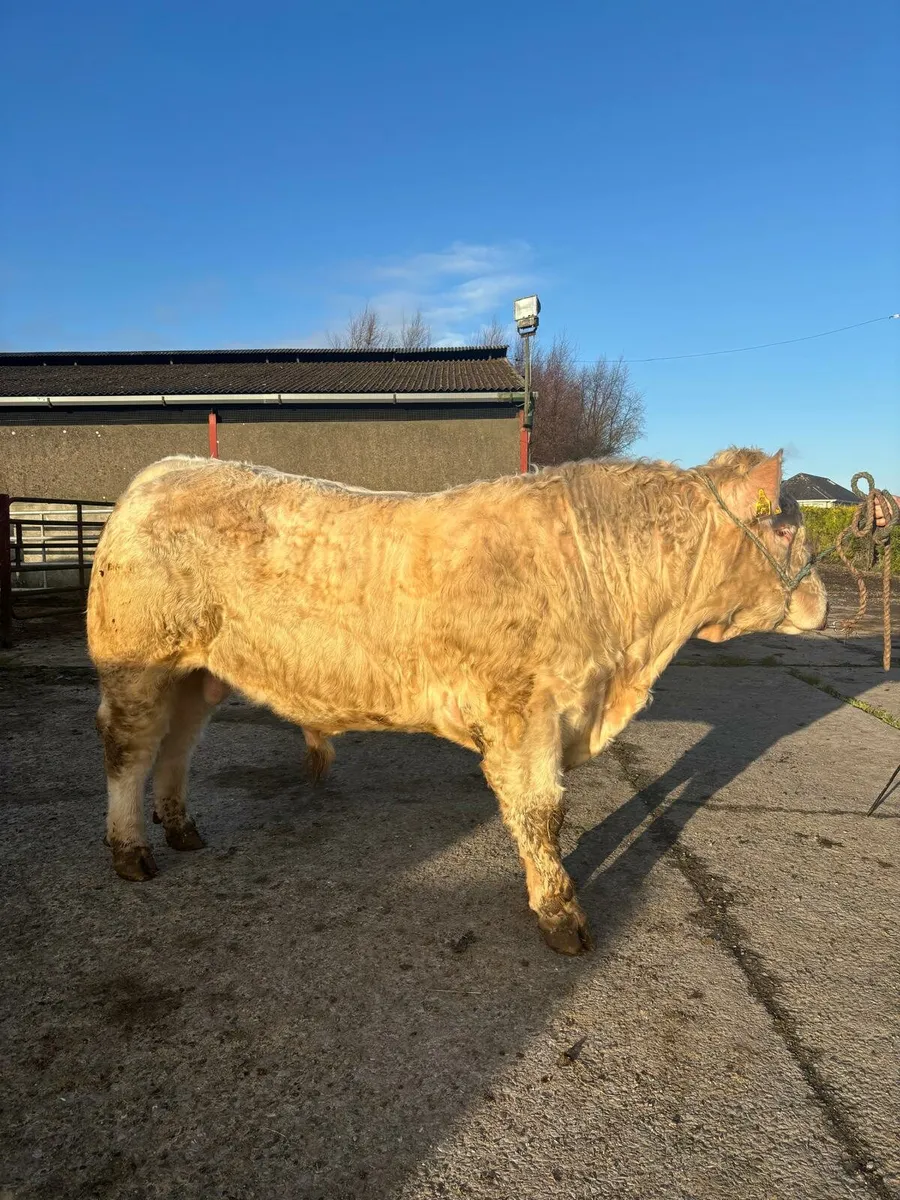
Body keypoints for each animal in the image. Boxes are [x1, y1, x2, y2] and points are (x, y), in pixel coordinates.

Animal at [87, 447, 827, 955]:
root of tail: (163, 470)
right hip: (137, 662)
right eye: (785, 531)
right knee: (130, 751)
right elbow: (541, 812)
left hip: (196, 671)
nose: (823, 602)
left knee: (177, 745)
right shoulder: (525, 712)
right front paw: (560, 912)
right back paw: (132, 852)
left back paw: (182, 828)